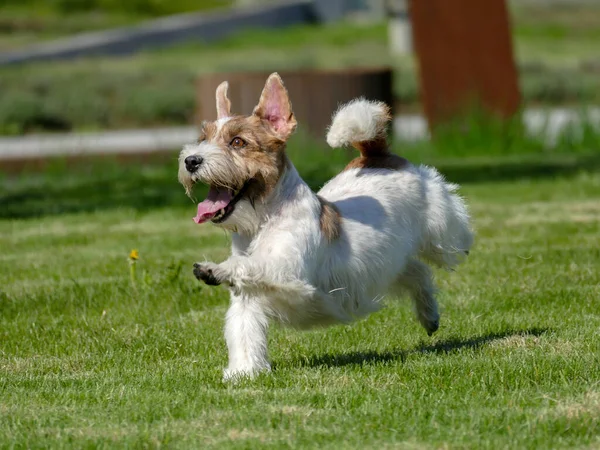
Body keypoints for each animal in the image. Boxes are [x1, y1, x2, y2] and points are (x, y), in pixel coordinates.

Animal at [178, 73, 474, 380]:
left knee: (449, 241)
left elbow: (248, 266)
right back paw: (429, 315)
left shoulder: (288, 273)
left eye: (237, 142)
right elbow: (244, 331)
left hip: (440, 230)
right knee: (417, 271)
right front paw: (243, 373)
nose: (191, 160)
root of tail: (376, 157)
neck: (262, 222)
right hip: (390, 260)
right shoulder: (247, 298)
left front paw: (214, 269)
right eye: (203, 139)